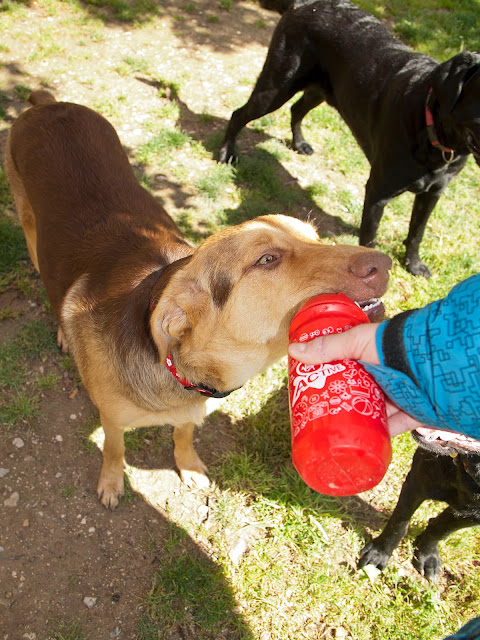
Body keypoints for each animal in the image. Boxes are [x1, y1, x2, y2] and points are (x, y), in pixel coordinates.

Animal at [4, 91, 390, 510]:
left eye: (316, 238)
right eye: (266, 259)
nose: (384, 263)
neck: (185, 370)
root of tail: (50, 103)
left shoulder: (190, 410)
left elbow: (184, 432)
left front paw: (187, 465)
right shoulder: (112, 418)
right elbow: (114, 450)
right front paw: (111, 482)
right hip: (30, 230)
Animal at [219, 0, 480, 276]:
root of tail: (305, 4)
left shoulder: (433, 193)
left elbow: (416, 232)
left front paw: (414, 263)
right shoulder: (377, 192)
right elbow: (370, 237)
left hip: (319, 91)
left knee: (296, 109)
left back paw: (300, 143)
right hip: (276, 87)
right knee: (239, 113)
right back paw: (226, 153)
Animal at [358, 430, 480, 580]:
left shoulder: (471, 514)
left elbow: (440, 530)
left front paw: (428, 555)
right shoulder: (416, 483)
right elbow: (398, 524)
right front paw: (379, 553)